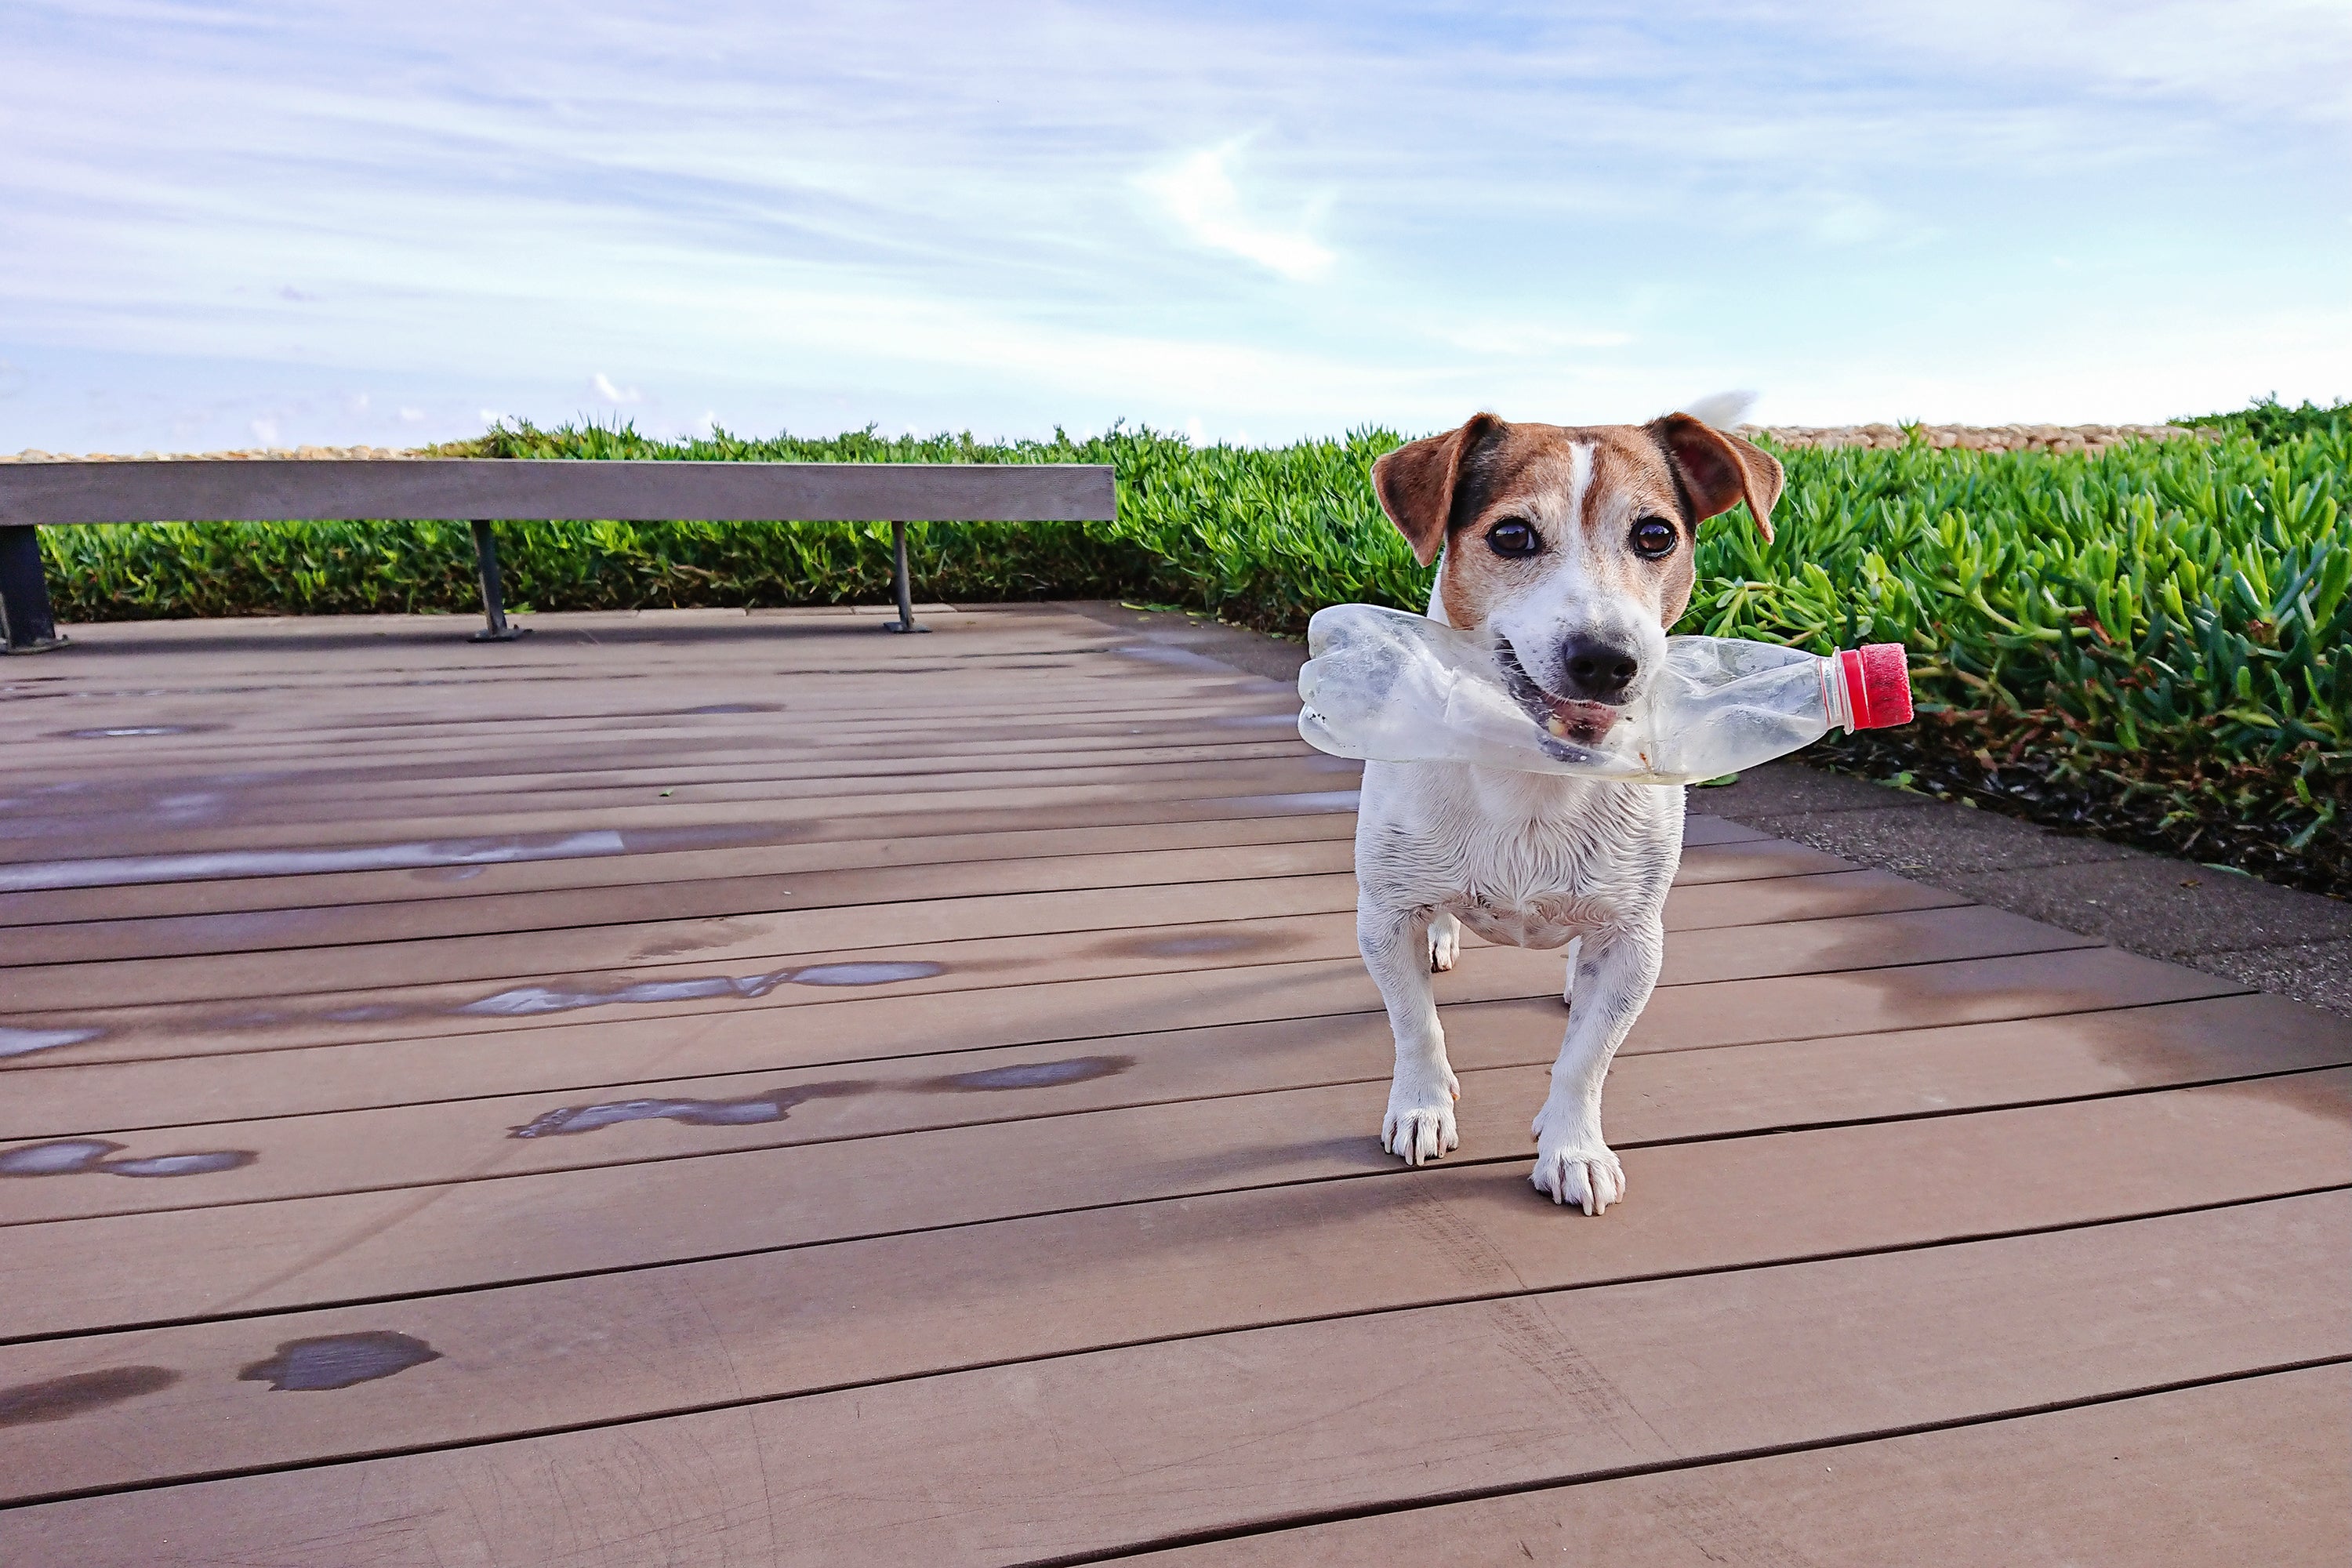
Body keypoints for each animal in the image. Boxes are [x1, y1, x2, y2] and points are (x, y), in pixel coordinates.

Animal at [1345, 408, 1778, 1213]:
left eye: (1655, 535)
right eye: (1513, 535)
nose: (1606, 659)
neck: (1533, 770)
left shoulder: (1637, 942)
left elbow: (1587, 1058)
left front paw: (1574, 1147)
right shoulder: (1383, 918)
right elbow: (1416, 1026)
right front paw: (1422, 1107)